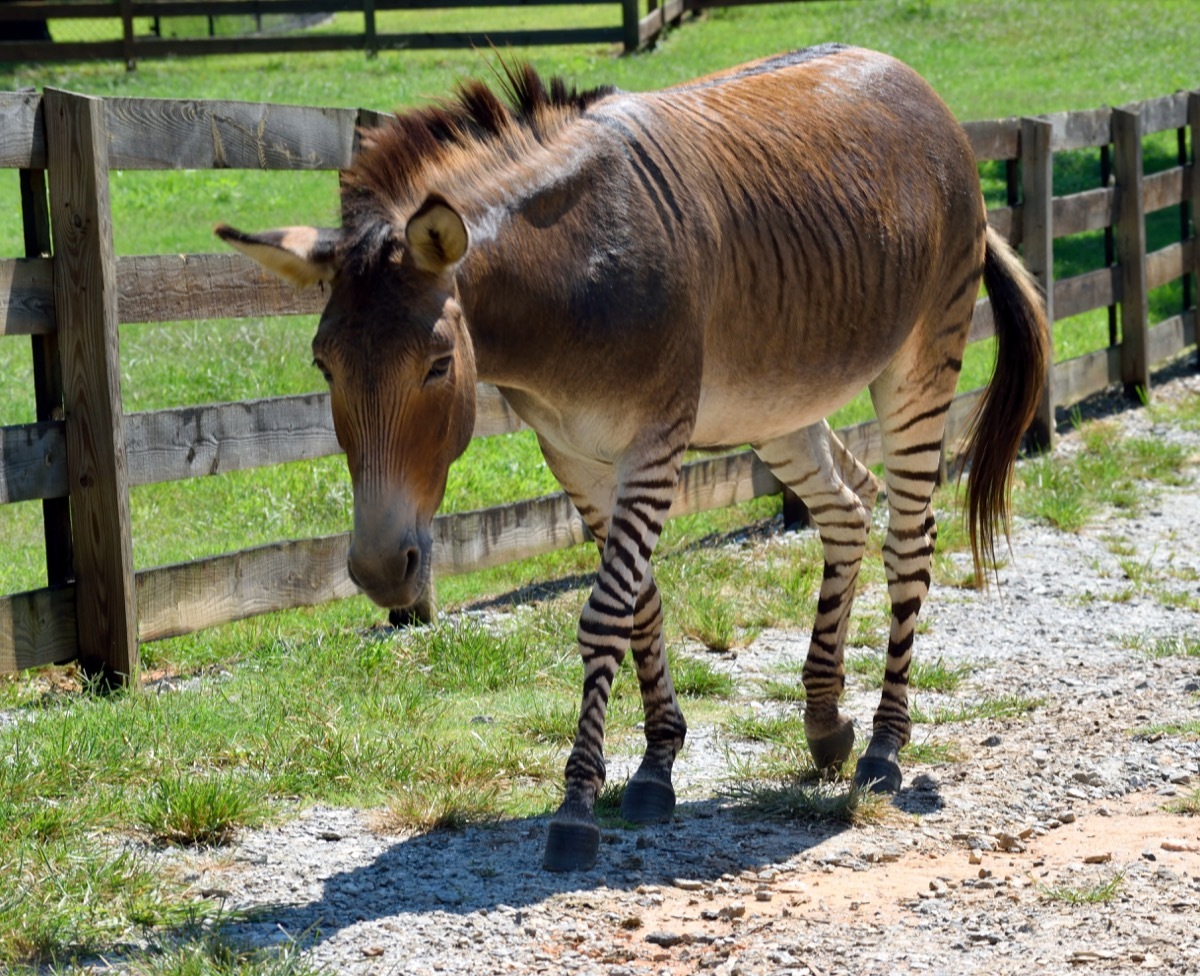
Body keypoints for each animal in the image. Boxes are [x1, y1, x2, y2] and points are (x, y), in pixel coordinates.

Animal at [217, 43, 1049, 872]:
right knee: (847, 508)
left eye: (437, 366)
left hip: (921, 359)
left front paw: (578, 806)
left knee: (910, 540)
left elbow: (606, 611)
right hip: (778, 399)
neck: (570, 280)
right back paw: (823, 720)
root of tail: (907, 75)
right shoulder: (573, 455)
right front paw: (656, 765)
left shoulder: (654, 440)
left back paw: (882, 744)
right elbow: (642, 601)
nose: (383, 571)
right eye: (323, 365)